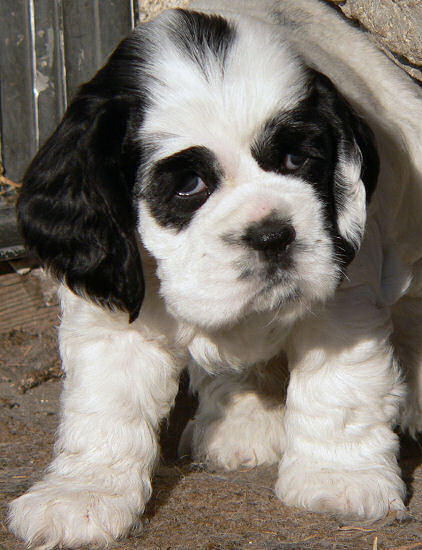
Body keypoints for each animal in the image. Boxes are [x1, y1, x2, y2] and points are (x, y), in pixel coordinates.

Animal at [9, 0, 422, 548]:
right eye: (188, 184)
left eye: (296, 158)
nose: (272, 235)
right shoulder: (111, 306)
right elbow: (105, 402)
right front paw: (82, 495)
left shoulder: (345, 287)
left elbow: (340, 389)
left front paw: (340, 479)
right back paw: (242, 421)